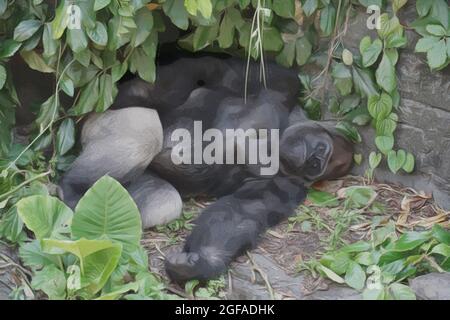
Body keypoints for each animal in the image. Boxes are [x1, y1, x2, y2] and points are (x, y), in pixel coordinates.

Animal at [59, 55, 356, 282]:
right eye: (321, 152)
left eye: (318, 166)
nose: (312, 161)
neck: (282, 132)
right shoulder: (285, 85)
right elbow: (212, 70)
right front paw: (136, 93)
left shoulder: (289, 186)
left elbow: (240, 214)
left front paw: (201, 264)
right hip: (99, 126)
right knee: (145, 133)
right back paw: (72, 188)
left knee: (161, 201)